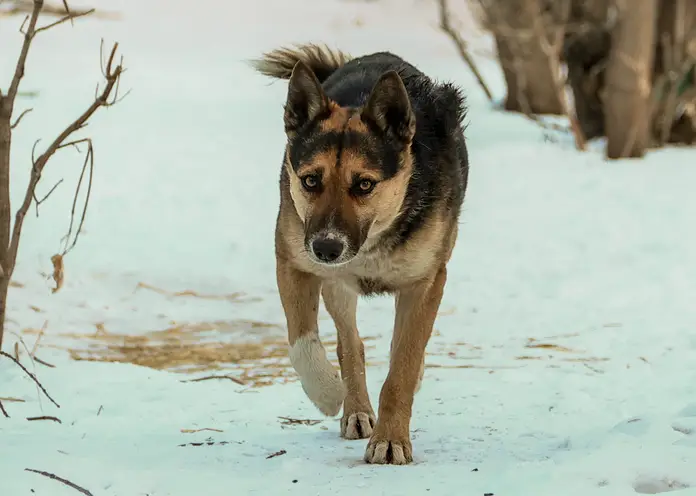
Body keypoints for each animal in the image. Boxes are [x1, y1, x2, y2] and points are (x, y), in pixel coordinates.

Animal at [250, 43, 468, 464]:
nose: (326, 248)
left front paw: (391, 439)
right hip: (336, 285)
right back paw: (354, 407)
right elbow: (302, 343)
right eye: (310, 180)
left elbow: (402, 366)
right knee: (349, 343)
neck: (374, 239)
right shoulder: (293, 261)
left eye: (364, 184)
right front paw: (328, 393)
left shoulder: (425, 282)